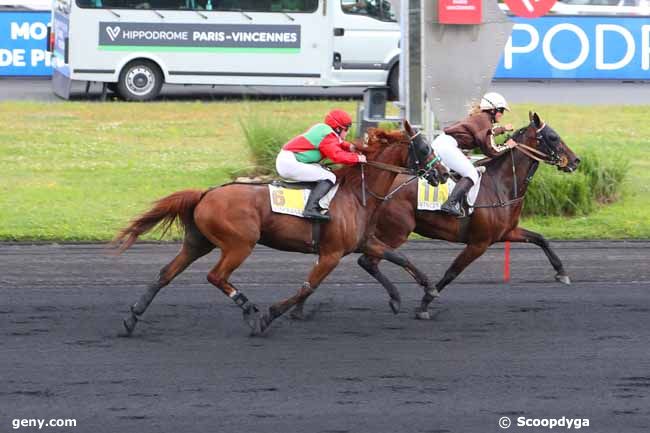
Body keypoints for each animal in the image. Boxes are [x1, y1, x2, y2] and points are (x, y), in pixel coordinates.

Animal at [114, 120, 446, 334]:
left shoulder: (362, 242)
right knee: (216, 276)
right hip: (239, 244)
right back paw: (249, 310)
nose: (442, 173)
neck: (355, 194)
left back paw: (132, 317)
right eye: (423, 147)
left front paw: (412, 294)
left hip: (198, 243)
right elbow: (307, 286)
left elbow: (399, 257)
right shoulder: (331, 253)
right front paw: (271, 314)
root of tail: (206, 193)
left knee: (165, 274)